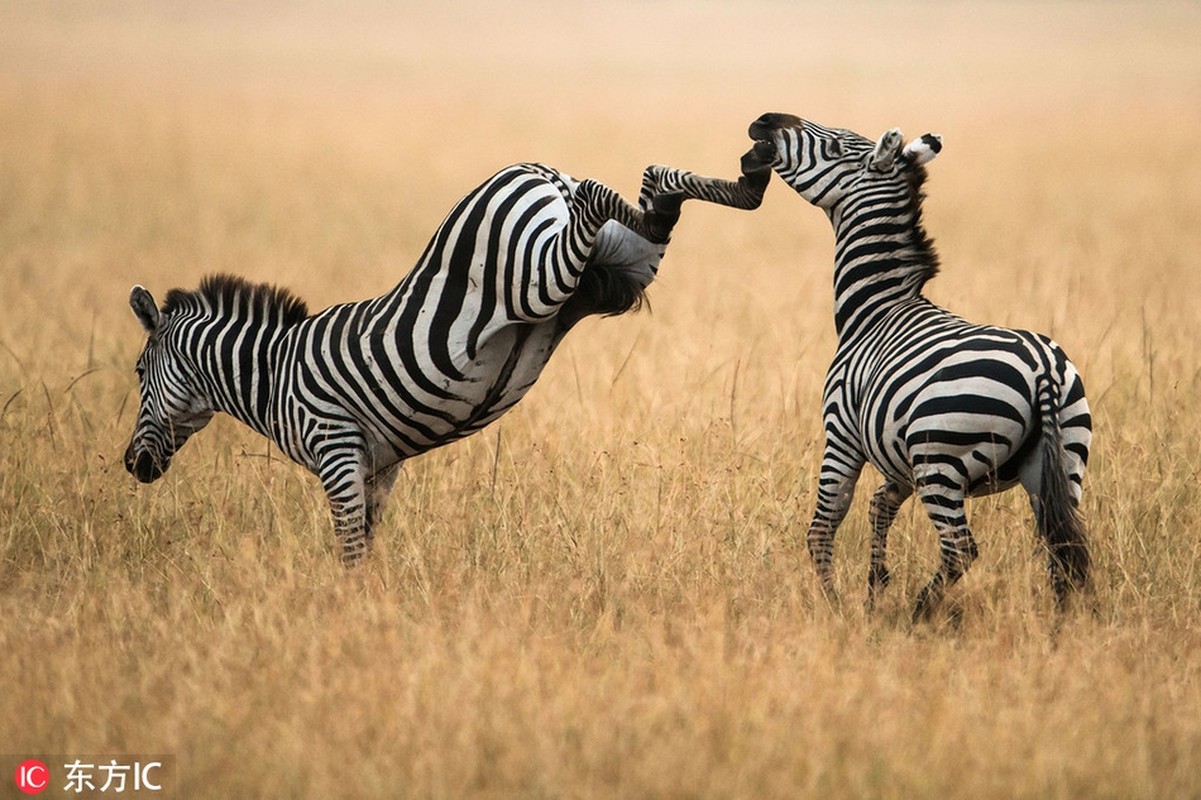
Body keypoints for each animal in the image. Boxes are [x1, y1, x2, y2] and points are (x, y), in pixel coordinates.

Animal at [126, 146, 773, 564]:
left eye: (136, 374)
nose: (132, 465)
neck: (272, 373)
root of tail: (536, 170)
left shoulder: (335, 448)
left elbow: (349, 549)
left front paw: (347, 616)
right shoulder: (378, 466)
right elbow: (367, 548)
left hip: (537, 275)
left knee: (599, 193)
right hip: (622, 267)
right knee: (656, 191)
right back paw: (748, 181)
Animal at [744, 113, 1095, 624]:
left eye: (833, 147)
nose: (763, 122)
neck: (875, 309)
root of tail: (1042, 368)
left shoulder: (843, 434)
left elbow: (825, 523)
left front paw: (835, 605)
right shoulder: (897, 457)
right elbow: (879, 507)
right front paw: (874, 588)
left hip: (941, 460)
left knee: (961, 549)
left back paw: (918, 613)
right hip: (1062, 460)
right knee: (1063, 546)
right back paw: (1060, 626)